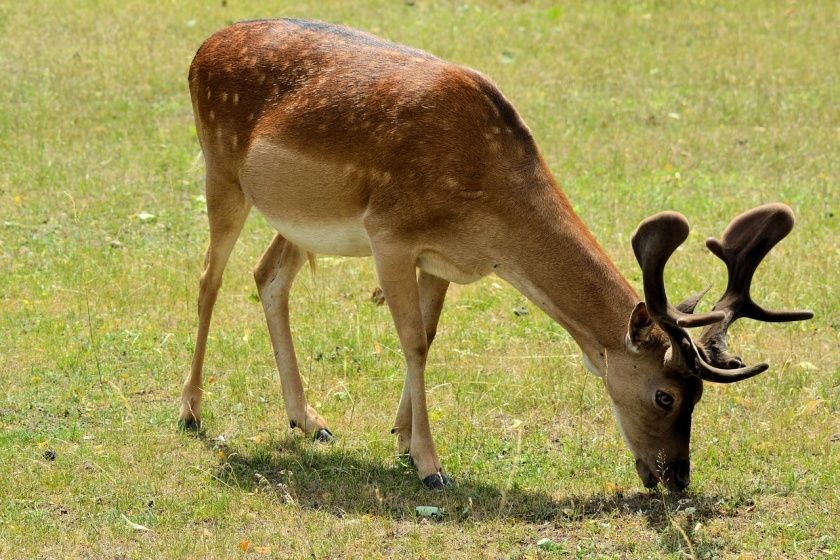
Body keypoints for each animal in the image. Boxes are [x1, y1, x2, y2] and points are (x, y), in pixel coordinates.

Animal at [179, 18, 812, 490]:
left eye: (699, 395)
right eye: (666, 394)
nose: (676, 478)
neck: (486, 218)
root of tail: (203, 47)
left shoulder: (438, 260)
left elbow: (428, 337)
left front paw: (402, 439)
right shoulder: (390, 233)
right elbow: (412, 342)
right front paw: (431, 466)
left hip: (297, 221)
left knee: (268, 276)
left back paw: (308, 420)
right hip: (222, 171)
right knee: (209, 277)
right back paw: (190, 411)